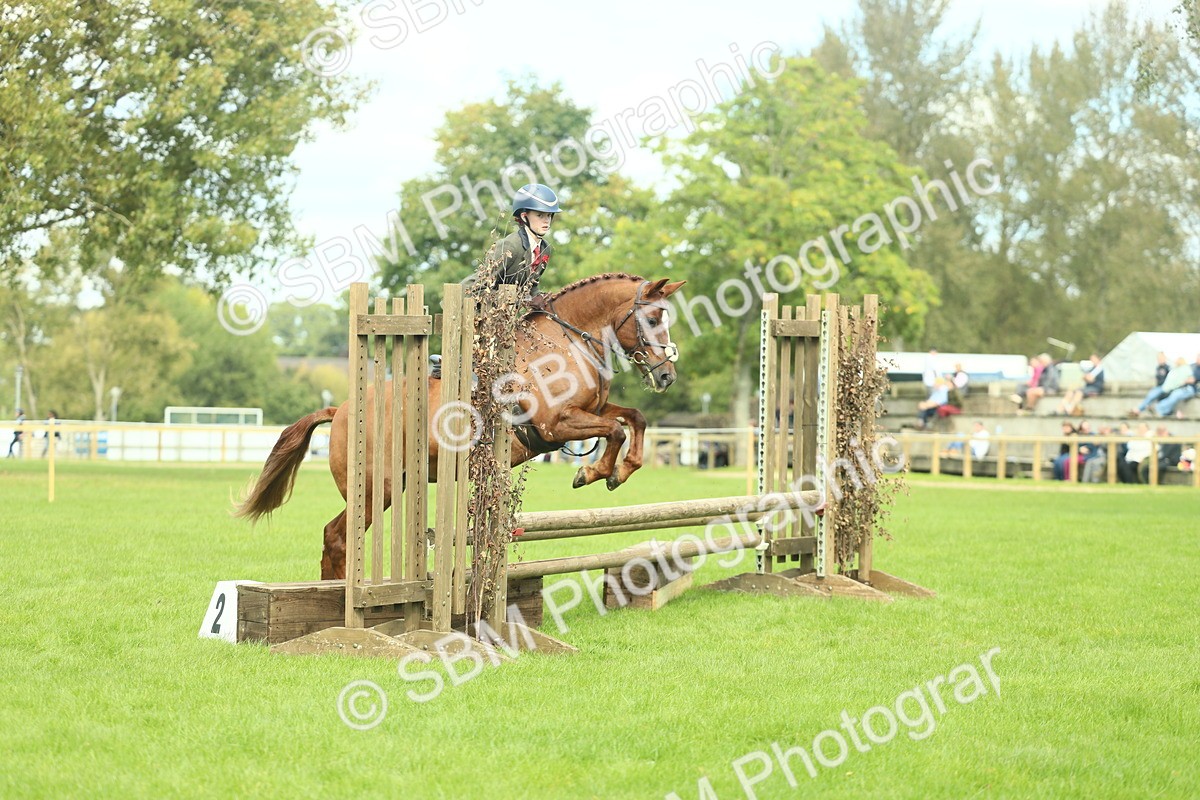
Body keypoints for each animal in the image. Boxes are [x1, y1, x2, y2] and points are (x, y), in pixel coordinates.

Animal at [234, 273, 686, 579]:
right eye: (652, 319)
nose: (667, 376)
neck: (567, 341)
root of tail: (341, 409)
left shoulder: (592, 409)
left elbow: (633, 419)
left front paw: (620, 471)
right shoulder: (555, 425)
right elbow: (614, 431)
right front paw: (593, 473)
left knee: (335, 535)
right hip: (375, 487)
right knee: (338, 536)